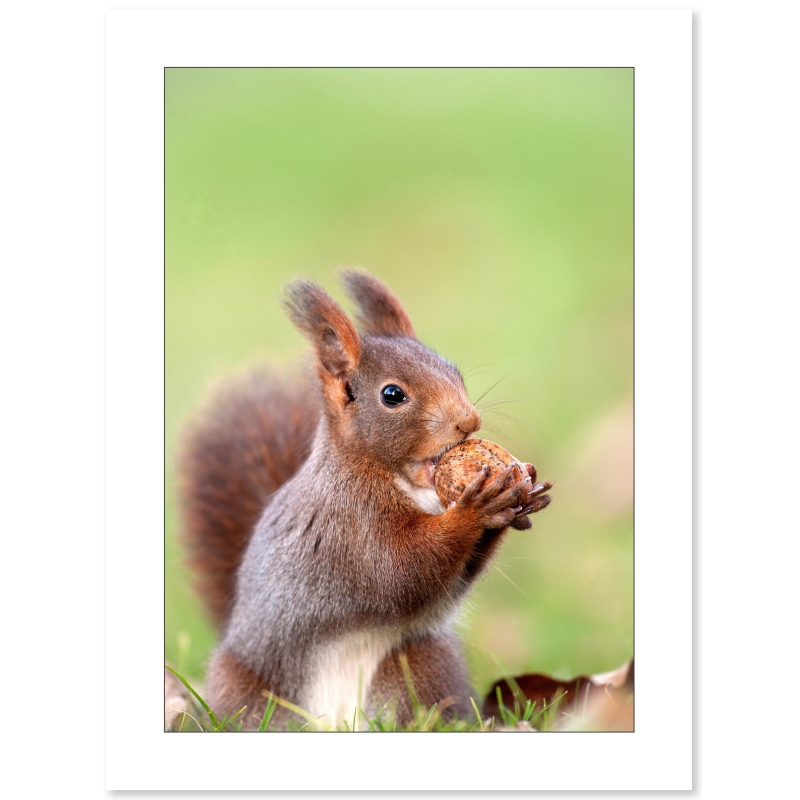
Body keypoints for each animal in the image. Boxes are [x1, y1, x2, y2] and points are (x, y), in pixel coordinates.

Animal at [177, 270, 552, 729]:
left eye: (454, 371)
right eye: (392, 395)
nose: (469, 420)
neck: (404, 480)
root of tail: (337, 724)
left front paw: (522, 492)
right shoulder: (349, 523)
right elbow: (400, 570)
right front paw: (476, 508)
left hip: (421, 663)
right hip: (251, 691)